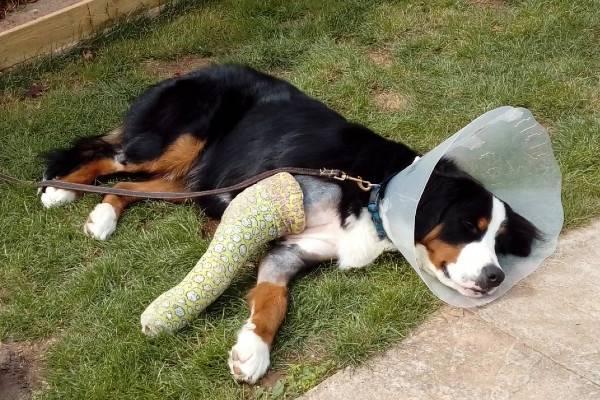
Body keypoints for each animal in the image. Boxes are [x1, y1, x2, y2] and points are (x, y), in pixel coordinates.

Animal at [41, 64, 540, 382]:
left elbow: (272, 300)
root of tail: (196, 69)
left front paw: (251, 351)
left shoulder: (290, 252)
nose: (495, 277)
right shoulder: (263, 195)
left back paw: (102, 215)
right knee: (109, 156)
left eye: (499, 240)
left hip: (185, 175)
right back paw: (59, 190)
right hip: (176, 142)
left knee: (129, 184)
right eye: (468, 225)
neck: (373, 190)